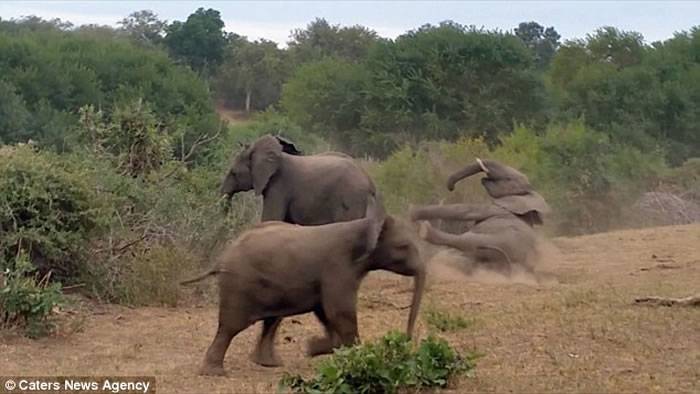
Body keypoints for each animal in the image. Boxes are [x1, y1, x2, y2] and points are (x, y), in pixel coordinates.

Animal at [180, 199, 424, 378]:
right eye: (403, 246)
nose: (406, 341)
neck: (363, 225)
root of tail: (221, 258)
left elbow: (326, 311)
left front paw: (316, 348)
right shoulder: (338, 268)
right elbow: (339, 311)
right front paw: (328, 350)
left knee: (271, 321)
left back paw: (269, 364)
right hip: (240, 285)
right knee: (231, 327)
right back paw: (214, 373)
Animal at [410, 158, 552, 274]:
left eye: (508, 179)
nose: (451, 187)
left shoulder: (497, 208)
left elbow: (464, 210)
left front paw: (411, 213)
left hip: (499, 240)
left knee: (467, 242)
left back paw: (425, 230)